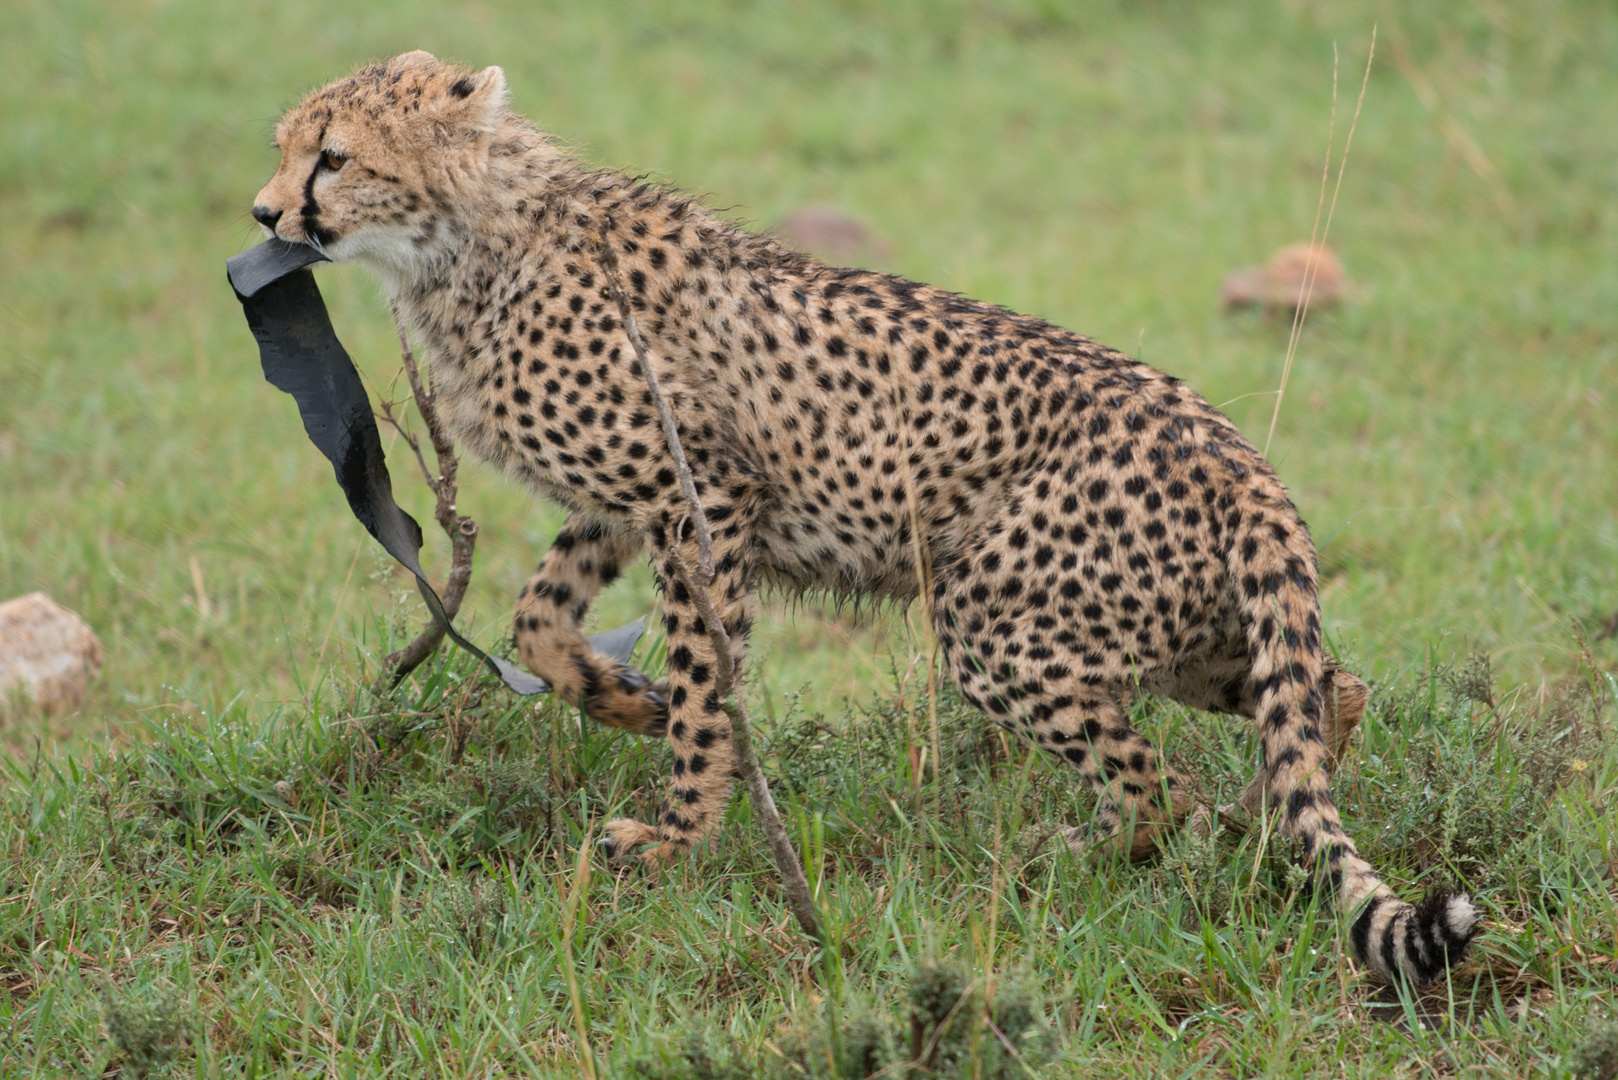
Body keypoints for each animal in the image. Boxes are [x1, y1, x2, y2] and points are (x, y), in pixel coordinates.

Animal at [252, 50, 1482, 984]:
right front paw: (625, 700)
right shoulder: (625, 502)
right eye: (284, 146)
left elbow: (705, 685)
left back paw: (1081, 854)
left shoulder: (703, 494)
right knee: (1321, 697)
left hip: (1003, 625)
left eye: (335, 156)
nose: (264, 211)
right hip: (1183, 633)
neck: (471, 234)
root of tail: (1228, 446)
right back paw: (1266, 825)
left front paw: (677, 831)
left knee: (1158, 785)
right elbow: (540, 623)